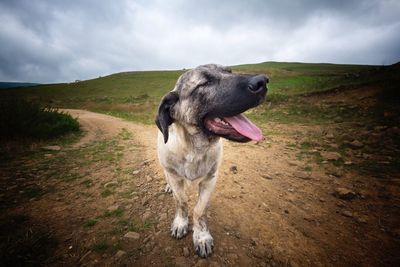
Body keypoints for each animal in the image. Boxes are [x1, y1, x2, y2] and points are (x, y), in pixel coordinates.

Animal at [155, 63, 268, 258]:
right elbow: (182, 202)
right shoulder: (176, 178)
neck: (193, 149)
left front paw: (201, 237)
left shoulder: (210, 180)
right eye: (205, 83)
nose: (263, 81)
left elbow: (199, 210)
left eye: (229, 71)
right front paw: (181, 222)